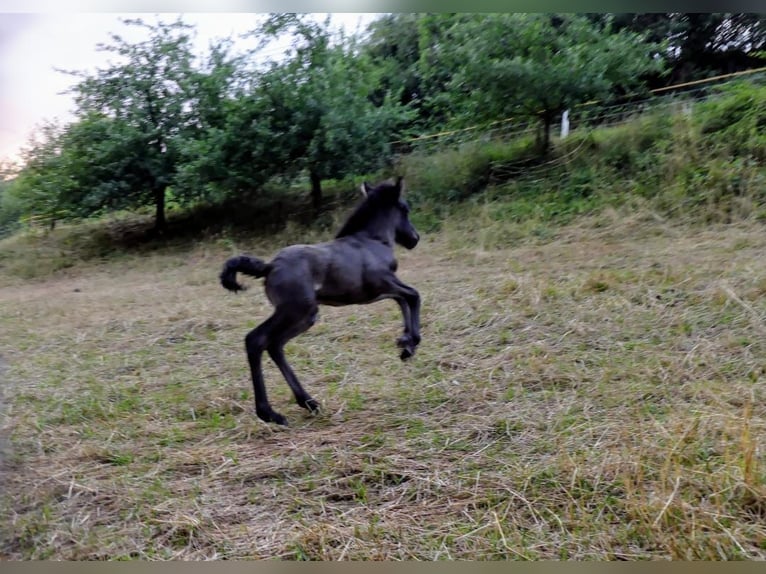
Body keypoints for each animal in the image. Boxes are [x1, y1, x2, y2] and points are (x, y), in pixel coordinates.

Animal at [220, 177, 421, 425]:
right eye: (405, 209)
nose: (414, 239)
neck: (371, 240)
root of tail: (270, 266)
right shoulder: (383, 283)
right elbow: (412, 295)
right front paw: (411, 342)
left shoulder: (381, 290)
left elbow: (403, 300)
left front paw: (405, 343)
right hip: (296, 311)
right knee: (256, 340)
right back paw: (270, 413)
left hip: (304, 317)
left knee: (275, 345)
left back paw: (309, 402)